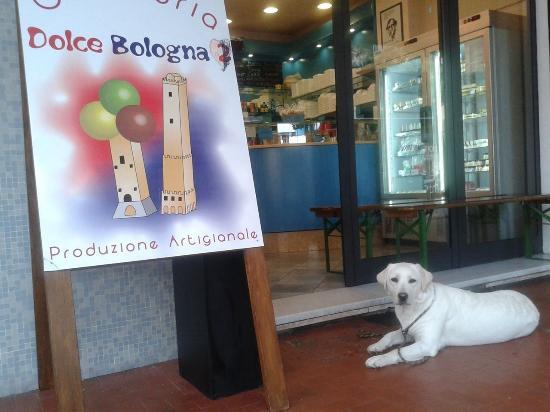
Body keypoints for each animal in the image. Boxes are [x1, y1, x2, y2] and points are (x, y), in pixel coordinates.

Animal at [368, 262, 540, 368]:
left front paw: (378, 359)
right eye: (394, 279)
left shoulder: (427, 344)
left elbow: (399, 351)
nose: (402, 296)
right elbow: (389, 335)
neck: (418, 305)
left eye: (413, 280)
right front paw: (377, 346)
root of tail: (532, 305)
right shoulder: (408, 330)